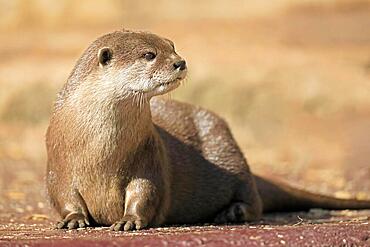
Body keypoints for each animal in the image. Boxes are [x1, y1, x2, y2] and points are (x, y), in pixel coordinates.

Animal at [46, 29, 370, 231]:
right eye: (149, 54)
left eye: (172, 46)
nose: (180, 62)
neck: (101, 151)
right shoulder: (58, 163)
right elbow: (63, 194)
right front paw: (73, 219)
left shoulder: (149, 157)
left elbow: (146, 191)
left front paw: (128, 220)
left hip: (228, 149)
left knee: (254, 198)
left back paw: (233, 212)